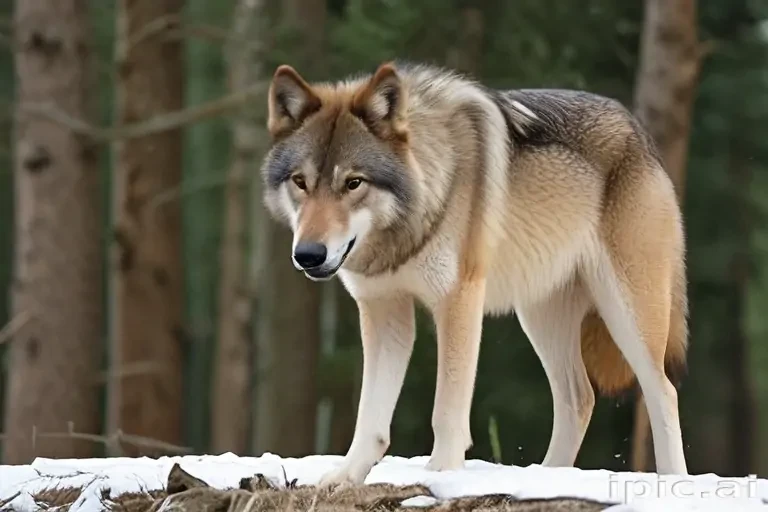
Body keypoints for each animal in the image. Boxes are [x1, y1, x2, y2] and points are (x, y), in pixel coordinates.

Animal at [259, 61, 689, 485]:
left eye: (353, 183)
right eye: (300, 182)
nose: (308, 255)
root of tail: (638, 130)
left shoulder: (457, 300)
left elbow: (447, 408)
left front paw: (442, 474)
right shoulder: (383, 309)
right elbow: (370, 415)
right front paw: (346, 478)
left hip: (628, 314)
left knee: (663, 392)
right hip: (539, 317)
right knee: (579, 397)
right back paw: (544, 478)